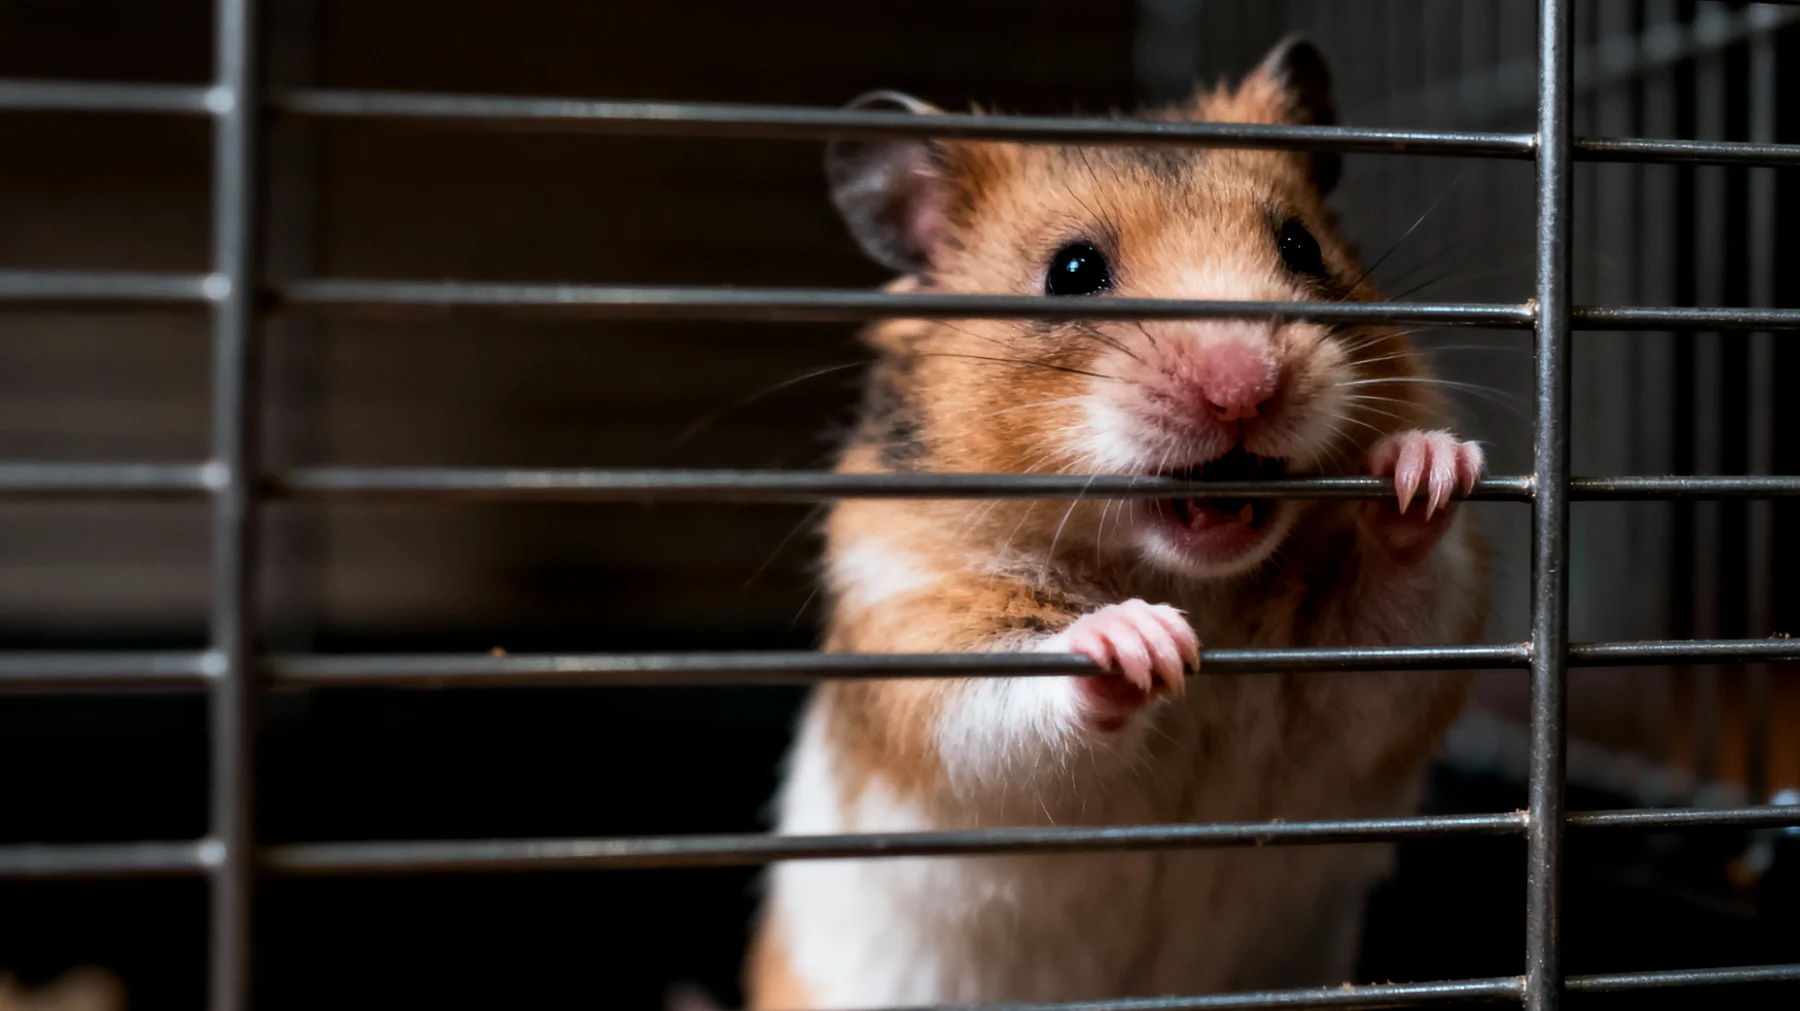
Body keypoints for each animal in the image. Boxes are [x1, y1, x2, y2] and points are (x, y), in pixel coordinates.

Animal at [746, 36, 1489, 1009]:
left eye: (1301, 245)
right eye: (1071, 272)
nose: (1244, 387)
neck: (1197, 582)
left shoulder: (1359, 698)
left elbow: (1391, 627)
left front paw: (1426, 466)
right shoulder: (913, 618)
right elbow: (1005, 704)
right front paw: (1141, 642)